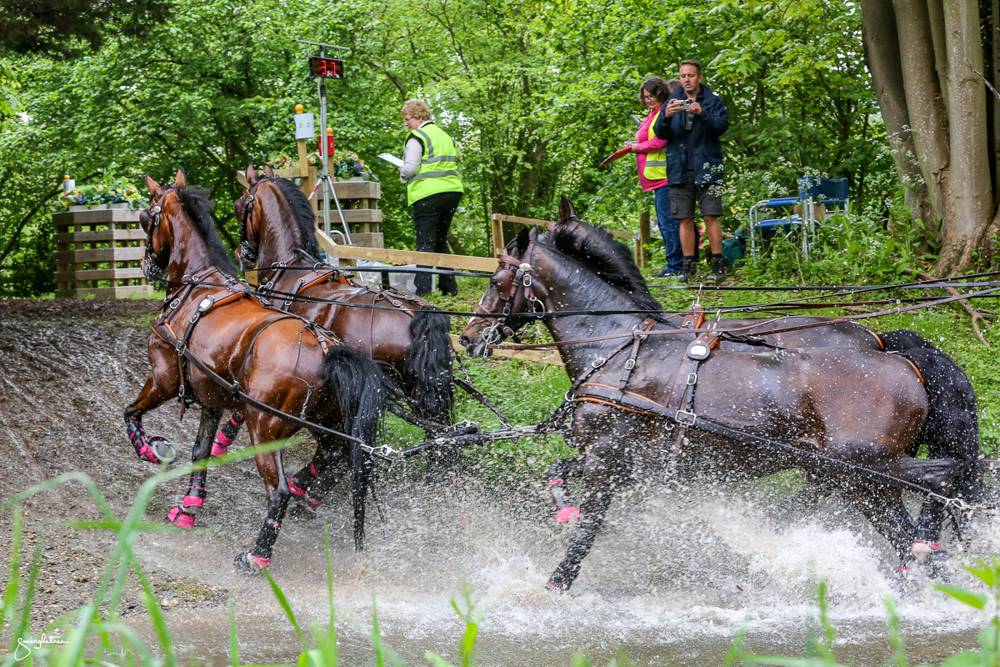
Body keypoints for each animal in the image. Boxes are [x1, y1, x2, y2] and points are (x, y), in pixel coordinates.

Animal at [124, 168, 387, 572]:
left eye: (145, 217)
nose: (146, 264)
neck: (197, 282)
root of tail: (325, 348)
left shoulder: (164, 378)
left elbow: (130, 412)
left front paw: (152, 449)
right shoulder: (211, 399)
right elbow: (200, 451)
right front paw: (188, 506)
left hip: (264, 428)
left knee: (277, 490)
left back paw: (258, 554)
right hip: (322, 421)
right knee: (334, 453)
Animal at [224, 166, 455, 507]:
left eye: (241, 204)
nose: (243, 252)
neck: (292, 267)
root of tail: (419, 314)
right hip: (421, 392)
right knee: (439, 436)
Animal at [460, 204, 966, 592]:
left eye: (497, 280)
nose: (467, 337)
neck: (618, 346)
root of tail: (900, 359)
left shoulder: (606, 458)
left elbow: (586, 528)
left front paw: (557, 582)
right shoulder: (622, 462)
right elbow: (557, 473)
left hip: (866, 468)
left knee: (942, 480)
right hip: (859, 481)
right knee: (902, 529)